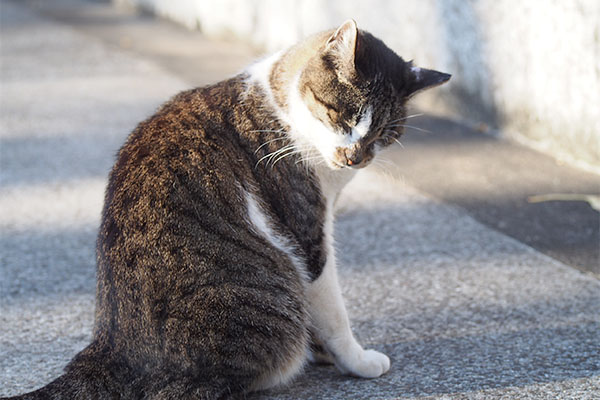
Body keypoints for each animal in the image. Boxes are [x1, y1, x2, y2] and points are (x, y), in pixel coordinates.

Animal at [8, 19, 450, 400]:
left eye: (384, 135)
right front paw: (358, 361)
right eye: (342, 115)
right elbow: (333, 312)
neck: (281, 105)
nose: (354, 157)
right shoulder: (309, 235)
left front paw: (325, 354)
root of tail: (110, 349)